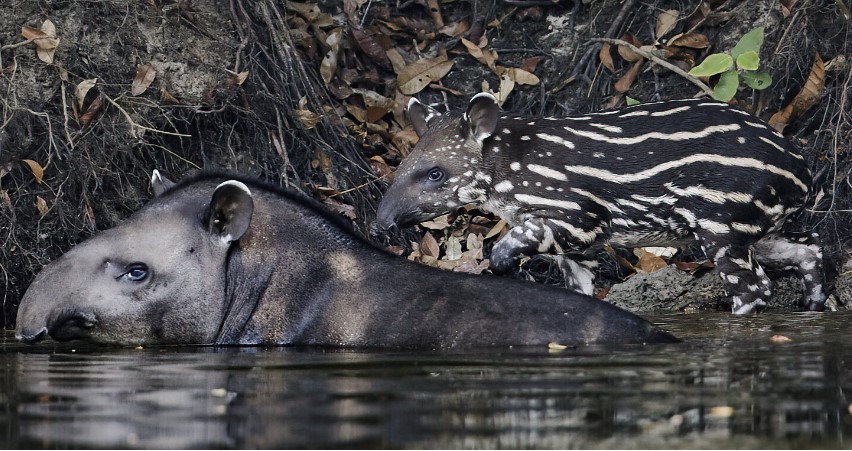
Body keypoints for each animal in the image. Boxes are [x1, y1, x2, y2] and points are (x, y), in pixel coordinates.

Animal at [378, 94, 824, 314]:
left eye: (435, 173)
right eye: (403, 164)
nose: (382, 221)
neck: (509, 165)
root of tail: (802, 169)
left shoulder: (578, 216)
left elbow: (520, 240)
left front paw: (503, 263)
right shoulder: (577, 247)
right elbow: (580, 288)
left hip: (722, 222)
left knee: (755, 288)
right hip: (757, 225)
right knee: (809, 250)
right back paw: (815, 304)